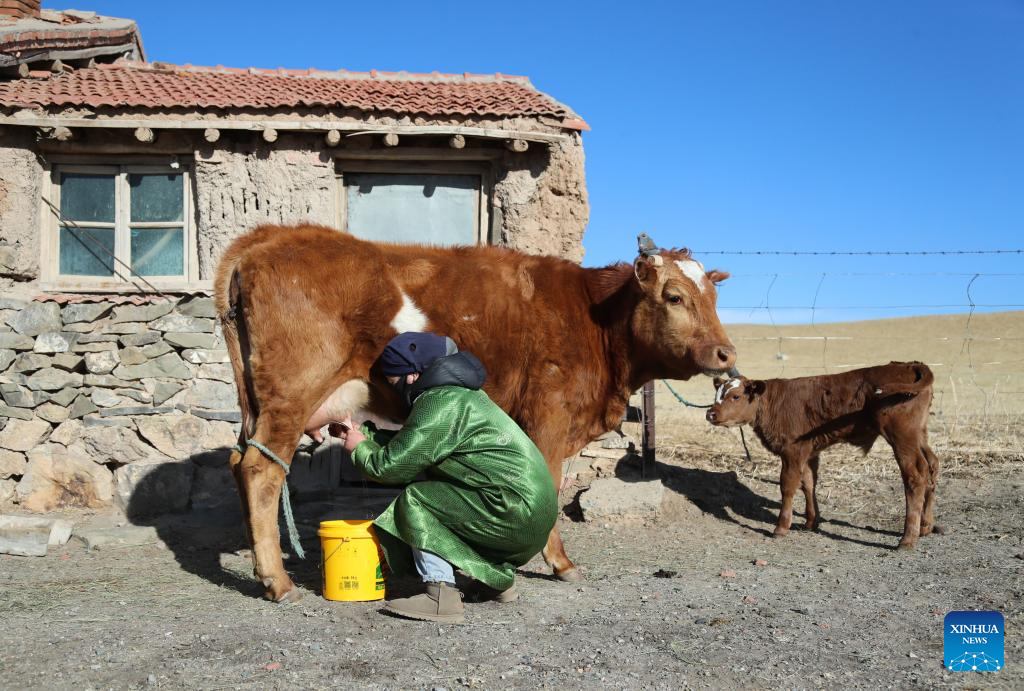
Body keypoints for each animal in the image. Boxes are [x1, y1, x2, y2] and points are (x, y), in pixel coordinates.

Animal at [214, 224, 737, 601]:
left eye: (713, 298)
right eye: (674, 297)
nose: (726, 354)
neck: (595, 319)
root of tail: (272, 235)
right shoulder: (548, 417)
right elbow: (550, 488)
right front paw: (559, 563)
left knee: (240, 462)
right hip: (291, 394)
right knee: (261, 469)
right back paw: (278, 582)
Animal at [708, 362, 937, 552]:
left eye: (735, 396)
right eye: (716, 395)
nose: (710, 413)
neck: (773, 403)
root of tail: (910, 365)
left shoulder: (792, 451)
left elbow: (788, 486)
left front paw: (781, 527)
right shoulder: (809, 452)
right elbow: (808, 483)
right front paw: (811, 522)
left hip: (902, 436)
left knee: (915, 475)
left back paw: (907, 538)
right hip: (919, 434)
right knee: (932, 466)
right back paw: (925, 526)